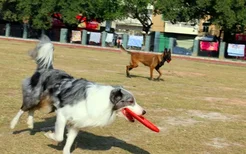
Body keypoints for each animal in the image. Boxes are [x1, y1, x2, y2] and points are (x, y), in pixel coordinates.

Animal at [10, 35, 146, 154]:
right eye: (130, 101)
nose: (144, 112)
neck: (106, 101)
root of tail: (47, 69)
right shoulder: (62, 114)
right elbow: (59, 136)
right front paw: (49, 135)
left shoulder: (76, 122)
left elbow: (69, 142)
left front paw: (65, 150)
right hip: (35, 97)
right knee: (24, 108)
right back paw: (13, 124)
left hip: (48, 106)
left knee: (32, 109)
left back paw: (30, 123)